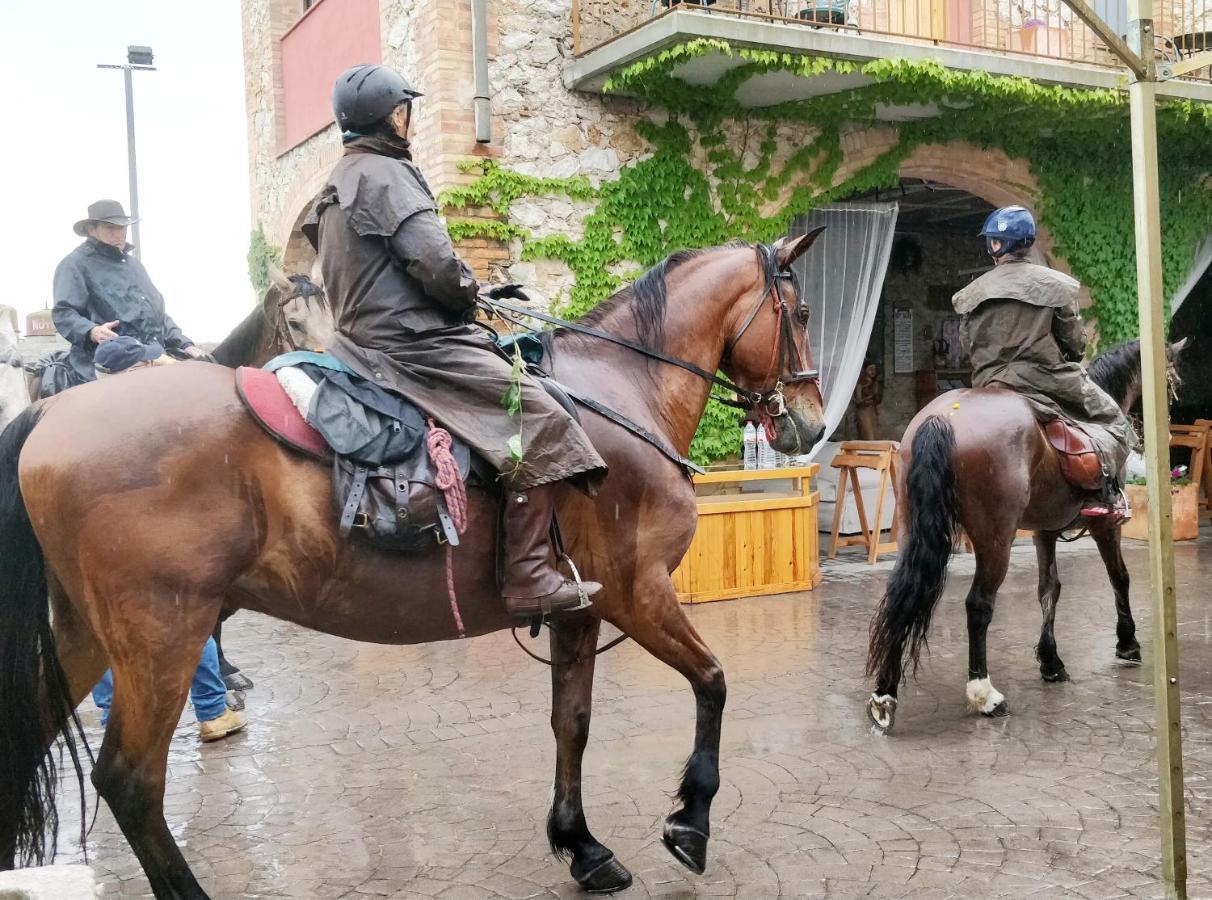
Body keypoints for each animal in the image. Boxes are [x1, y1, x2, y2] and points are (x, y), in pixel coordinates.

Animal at [0, 233, 829, 900]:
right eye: (802, 312)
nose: (813, 423)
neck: (617, 394)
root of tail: (54, 413)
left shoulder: (583, 608)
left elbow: (572, 723)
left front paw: (581, 845)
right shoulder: (638, 593)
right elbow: (713, 684)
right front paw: (690, 821)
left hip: (88, 636)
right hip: (163, 633)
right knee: (131, 781)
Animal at [867, 339, 1187, 731]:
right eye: (1172, 376)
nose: (1168, 430)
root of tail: (944, 418)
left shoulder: (1044, 531)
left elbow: (1049, 589)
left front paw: (1051, 661)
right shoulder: (1105, 526)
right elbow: (1119, 578)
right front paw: (1127, 643)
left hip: (913, 530)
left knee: (902, 593)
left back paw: (885, 693)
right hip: (995, 538)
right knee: (978, 605)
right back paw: (984, 694)